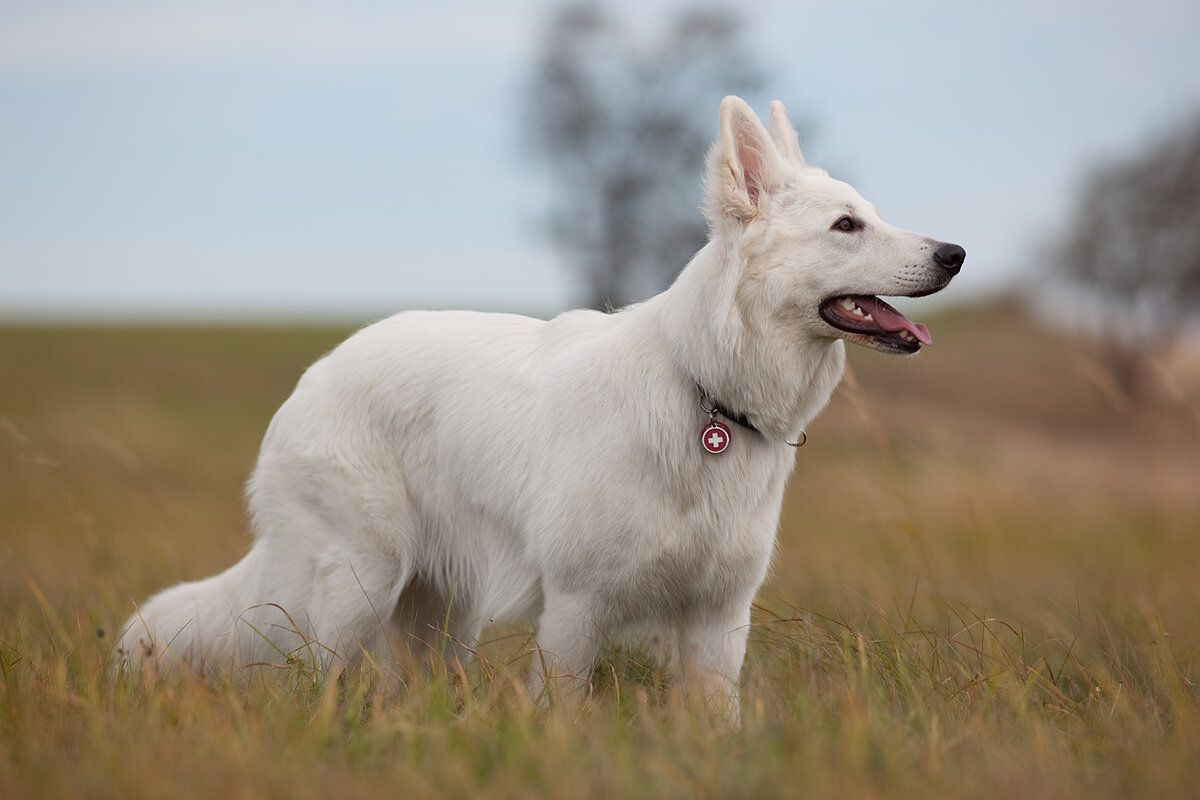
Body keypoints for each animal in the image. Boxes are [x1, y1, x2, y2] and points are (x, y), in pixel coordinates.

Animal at [117, 97, 964, 714]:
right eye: (846, 226)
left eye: (871, 214)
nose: (955, 254)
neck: (704, 391)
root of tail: (316, 373)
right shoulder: (575, 609)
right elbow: (561, 708)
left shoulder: (720, 619)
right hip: (355, 588)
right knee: (307, 683)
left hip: (437, 615)